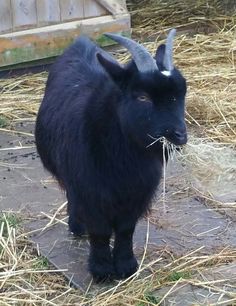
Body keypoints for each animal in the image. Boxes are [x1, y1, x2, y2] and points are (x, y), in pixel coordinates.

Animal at [35, 29, 187, 282]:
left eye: (181, 93)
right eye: (143, 97)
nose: (179, 135)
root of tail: (81, 42)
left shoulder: (137, 193)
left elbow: (126, 230)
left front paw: (126, 266)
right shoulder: (91, 191)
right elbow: (100, 231)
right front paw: (102, 270)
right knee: (71, 196)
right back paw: (76, 226)